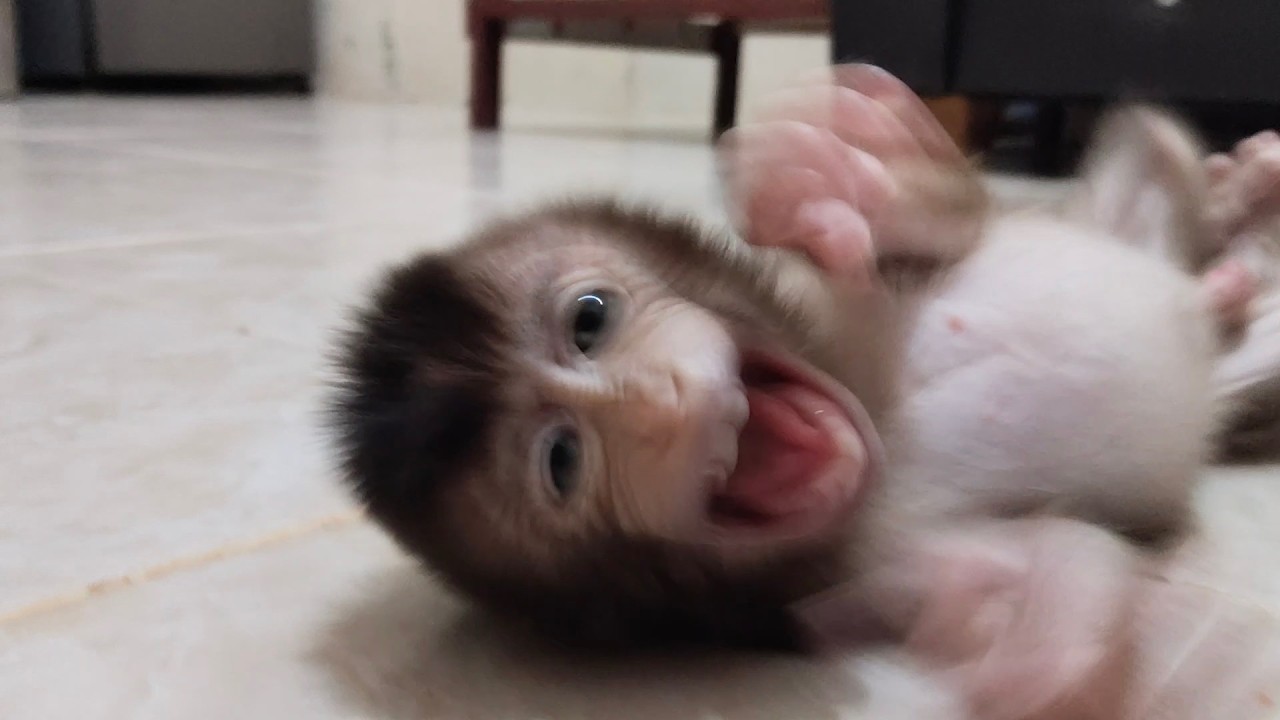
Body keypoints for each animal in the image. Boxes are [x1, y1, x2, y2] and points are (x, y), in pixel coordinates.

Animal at [326, 66, 1251, 719]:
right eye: (562, 460)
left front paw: (831, 171)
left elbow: (940, 227)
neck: (882, 429)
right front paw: (1053, 659)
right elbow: (1047, 554)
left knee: (1154, 138)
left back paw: (1234, 221)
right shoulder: (854, 573)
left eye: (590, 319)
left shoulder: (822, 292)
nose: (656, 403)